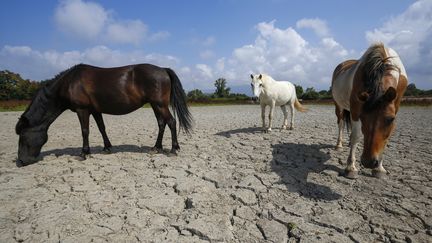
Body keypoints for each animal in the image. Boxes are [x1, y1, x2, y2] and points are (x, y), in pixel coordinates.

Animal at [14, 63, 192, 166]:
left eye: (22, 136)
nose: (21, 161)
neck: (70, 82)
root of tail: (163, 70)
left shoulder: (82, 110)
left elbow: (85, 131)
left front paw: (83, 153)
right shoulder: (95, 110)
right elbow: (101, 128)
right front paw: (107, 148)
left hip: (160, 104)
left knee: (171, 122)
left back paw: (173, 149)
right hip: (156, 105)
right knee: (162, 123)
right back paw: (156, 147)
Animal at [332, 43, 406, 178]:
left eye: (391, 119)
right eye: (362, 117)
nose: (368, 162)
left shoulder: (396, 104)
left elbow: (386, 138)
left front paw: (379, 169)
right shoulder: (356, 108)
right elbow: (356, 136)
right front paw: (351, 168)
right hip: (339, 106)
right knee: (341, 124)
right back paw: (339, 145)